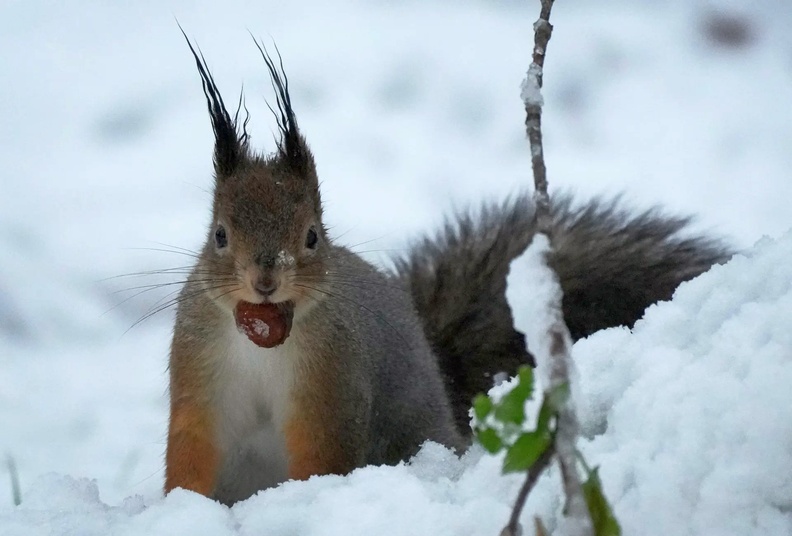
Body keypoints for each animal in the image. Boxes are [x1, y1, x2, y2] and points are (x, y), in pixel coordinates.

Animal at [165, 36, 732, 505]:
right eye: (219, 235)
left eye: (311, 236)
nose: (264, 283)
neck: (262, 341)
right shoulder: (200, 375)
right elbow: (191, 454)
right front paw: (180, 507)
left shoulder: (333, 381)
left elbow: (322, 456)